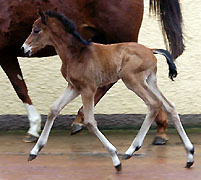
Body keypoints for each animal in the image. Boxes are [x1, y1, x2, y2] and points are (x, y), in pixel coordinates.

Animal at [21, 10, 194, 171]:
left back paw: (132, 149)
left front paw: (115, 159)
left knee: (154, 104)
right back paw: (189, 155)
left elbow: (89, 121)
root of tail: (151, 50)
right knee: (169, 106)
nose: (24, 48)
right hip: (150, 81)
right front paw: (34, 151)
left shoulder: (88, 88)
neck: (76, 54)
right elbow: (53, 110)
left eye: (36, 30)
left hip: (132, 79)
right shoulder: (74, 87)